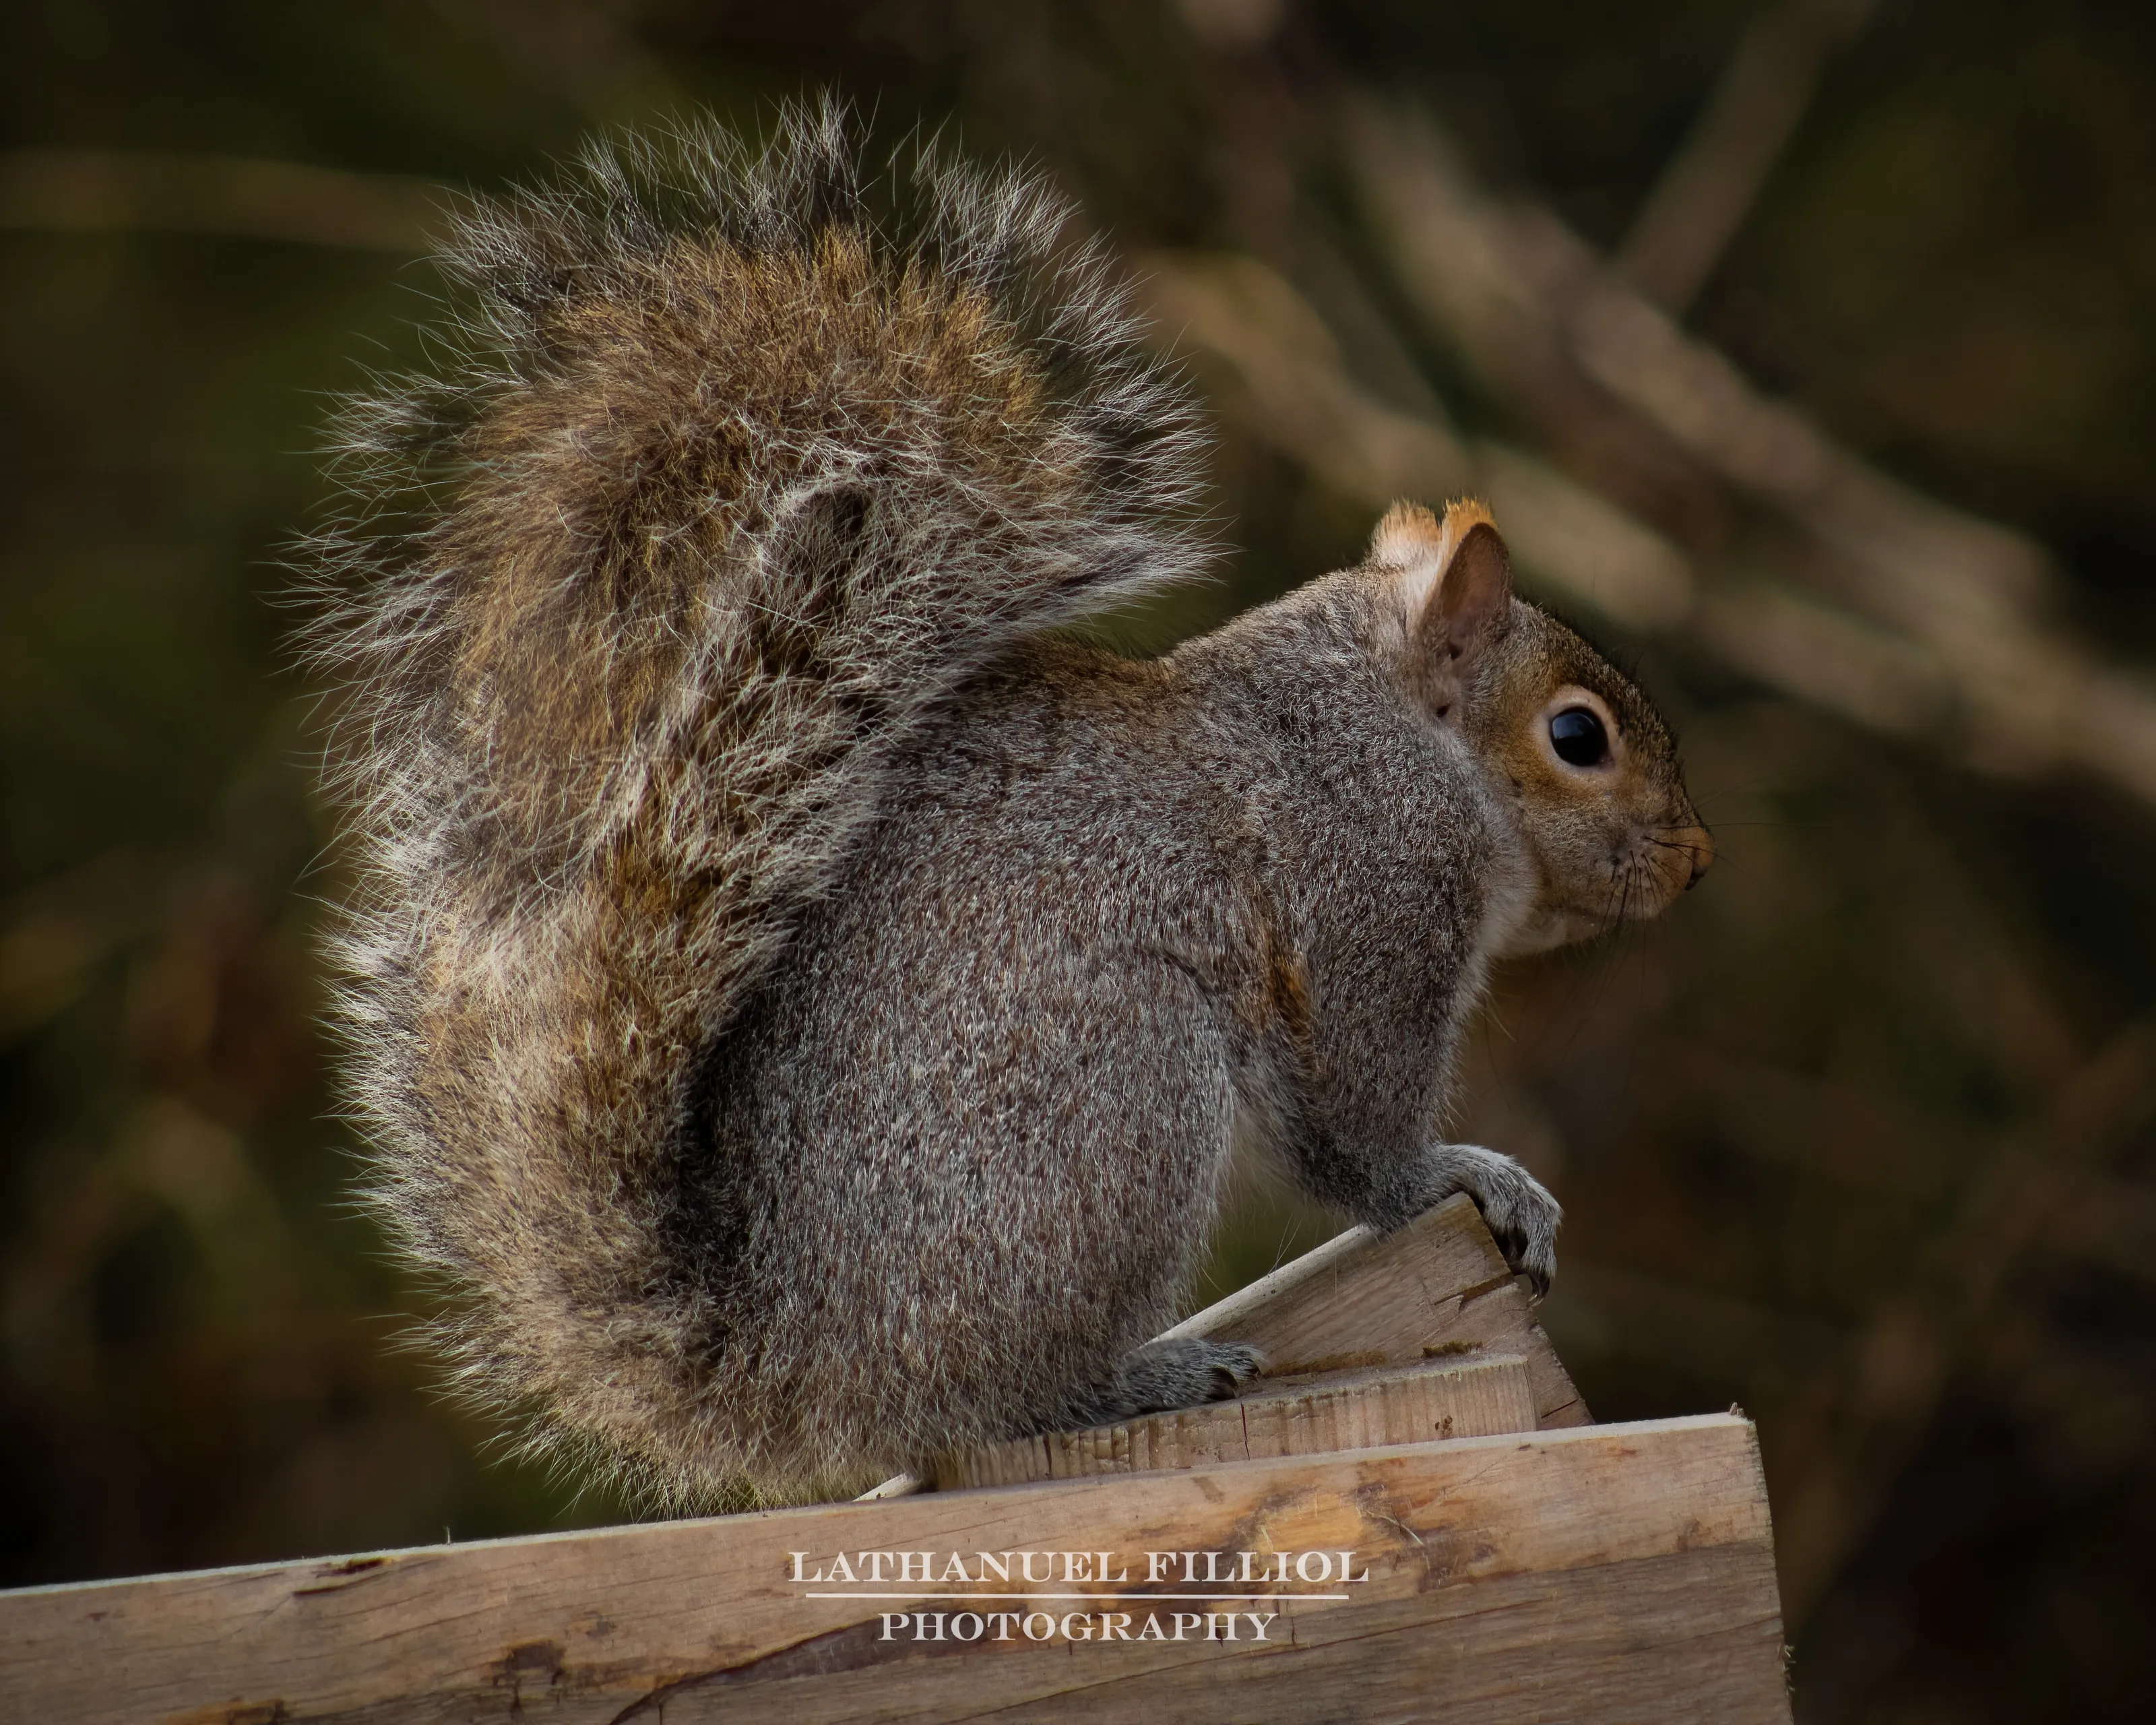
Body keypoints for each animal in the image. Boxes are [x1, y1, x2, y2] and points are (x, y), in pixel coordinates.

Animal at [307, 100, 1712, 1510]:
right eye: (1578, 737)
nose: (1696, 861)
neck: (1385, 730)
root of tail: (799, 1369)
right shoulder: (1366, 899)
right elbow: (1361, 1142)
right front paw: (1475, 1179)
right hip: (1126, 1096)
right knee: (1006, 1402)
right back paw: (1145, 1374)